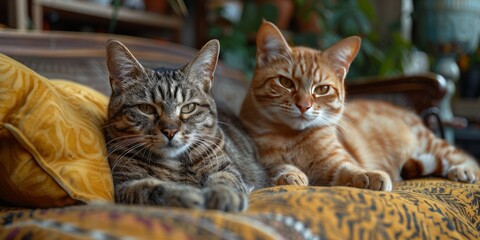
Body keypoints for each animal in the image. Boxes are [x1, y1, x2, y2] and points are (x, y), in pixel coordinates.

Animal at [104, 38, 266, 212]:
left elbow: (226, 179)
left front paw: (225, 194)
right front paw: (186, 194)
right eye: (146, 108)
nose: (170, 131)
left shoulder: (225, 167)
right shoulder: (123, 184)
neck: (175, 164)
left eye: (189, 107)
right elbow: (150, 188)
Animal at [240, 21, 480, 192]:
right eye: (286, 82)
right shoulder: (266, 161)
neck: (292, 137)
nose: (304, 106)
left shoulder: (337, 162)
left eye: (322, 89)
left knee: (463, 157)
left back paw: (463, 170)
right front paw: (290, 174)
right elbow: (278, 167)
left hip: (430, 142)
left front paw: (371, 176)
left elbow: (351, 168)